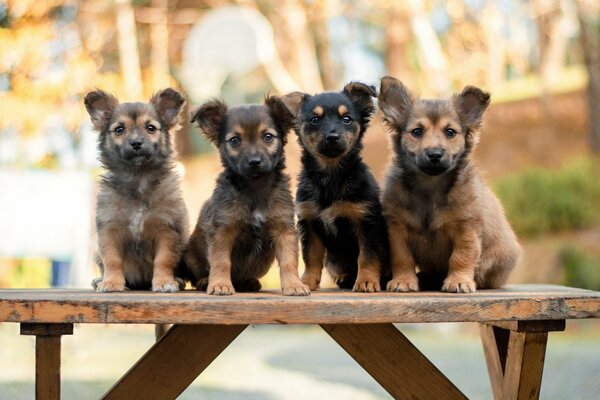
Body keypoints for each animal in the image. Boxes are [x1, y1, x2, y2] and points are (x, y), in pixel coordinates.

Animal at [83, 89, 189, 292]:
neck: (138, 177)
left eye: (151, 128)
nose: (136, 143)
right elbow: (112, 260)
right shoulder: (110, 229)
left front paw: (164, 282)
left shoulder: (167, 229)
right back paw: (99, 280)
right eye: (119, 129)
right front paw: (111, 283)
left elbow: (164, 260)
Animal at [184, 95, 310, 296]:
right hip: (190, 255)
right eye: (235, 140)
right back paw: (205, 281)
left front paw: (294, 285)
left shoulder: (284, 229)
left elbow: (289, 261)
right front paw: (220, 284)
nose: (254, 162)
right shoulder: (223, 229)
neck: (254, 186)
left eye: (268, 136)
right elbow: (221, 261)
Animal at [282, 83, 390, 292]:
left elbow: (367, 256)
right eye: (314, 120)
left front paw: (366, 281)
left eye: (347, 119)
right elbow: (311, 257)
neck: (330, 176)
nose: (332, 137)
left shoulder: (367, 222)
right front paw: (307, 282)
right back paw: (346, 278)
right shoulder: (310, 224)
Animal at [380, 76, 520, 292]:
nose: (435, 154)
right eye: (417, 132)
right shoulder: (397, 228)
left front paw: (459, 281)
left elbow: (461, 257)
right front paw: (403, 280)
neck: (430, 186)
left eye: (450, 132)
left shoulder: (466, 228)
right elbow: (402, 257)